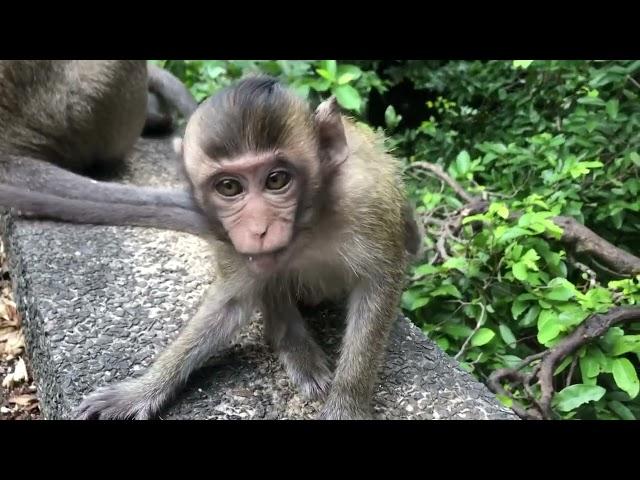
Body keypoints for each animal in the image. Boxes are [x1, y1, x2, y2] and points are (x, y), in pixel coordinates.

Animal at [75, 76, 422, 420]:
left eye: (277, 180)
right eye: (229, 187)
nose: (258, 229)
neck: (307, 225)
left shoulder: (367, 199)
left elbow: (377, 286)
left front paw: (347, 403)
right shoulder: (227, 237)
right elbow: (231, 304)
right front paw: (142, 389)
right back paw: (294, 346)